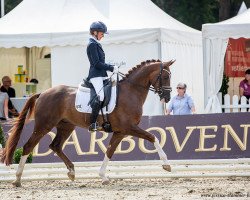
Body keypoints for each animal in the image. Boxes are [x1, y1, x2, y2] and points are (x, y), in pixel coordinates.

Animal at [1, 59, 174, 186]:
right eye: (165, 77)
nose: (167, 98)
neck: (131, 92)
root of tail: (43, 93)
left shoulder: (120, 131)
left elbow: (110, 151)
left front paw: (103, 176)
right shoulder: (129, 127)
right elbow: (153, 137)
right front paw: (166, 164)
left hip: (66, 126)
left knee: (55, 146)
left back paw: (71, 171)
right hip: (44, 125)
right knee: (28, 146)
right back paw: (17, 179)